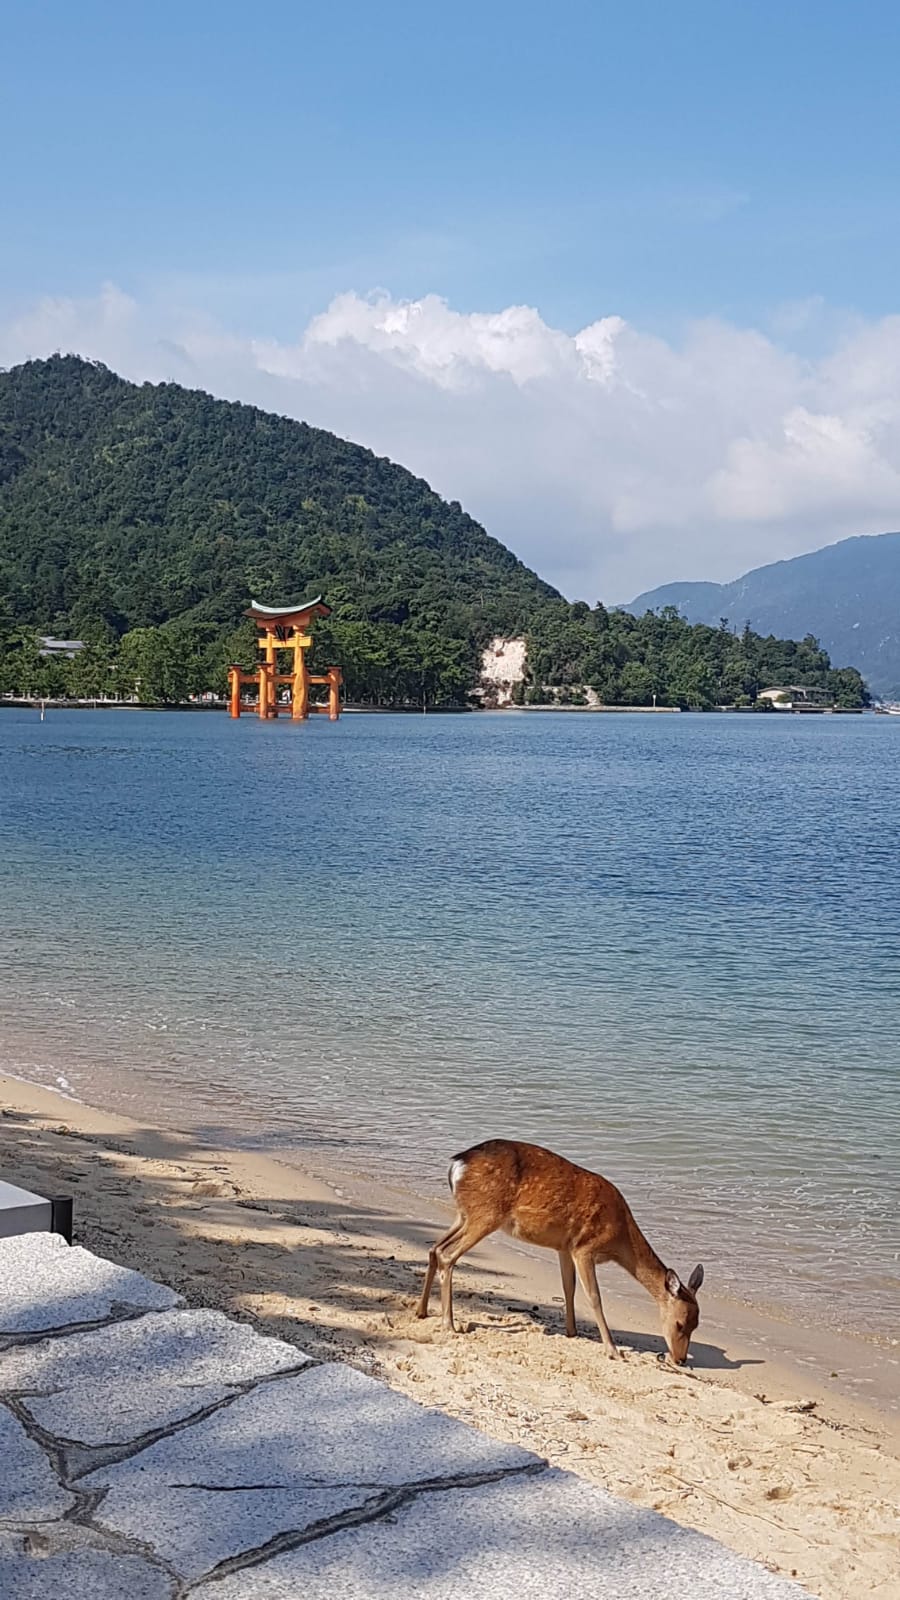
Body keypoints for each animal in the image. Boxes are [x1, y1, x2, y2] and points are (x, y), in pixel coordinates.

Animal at [413, 1139, 701, 1363]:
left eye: (695, 1325)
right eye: (680, 1323)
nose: (680, 1359)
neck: (619, 1237)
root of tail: (456, 1164)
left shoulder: (564, 1247)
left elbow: (568, 1287)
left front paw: (572, 1332)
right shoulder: (585, 1247)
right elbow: (594, 1297)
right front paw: (613, 1351)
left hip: (464, 1214)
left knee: (435, 1249)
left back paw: (422, 1311)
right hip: (485, 1214)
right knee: (447, 1255)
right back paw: (449, 1324)